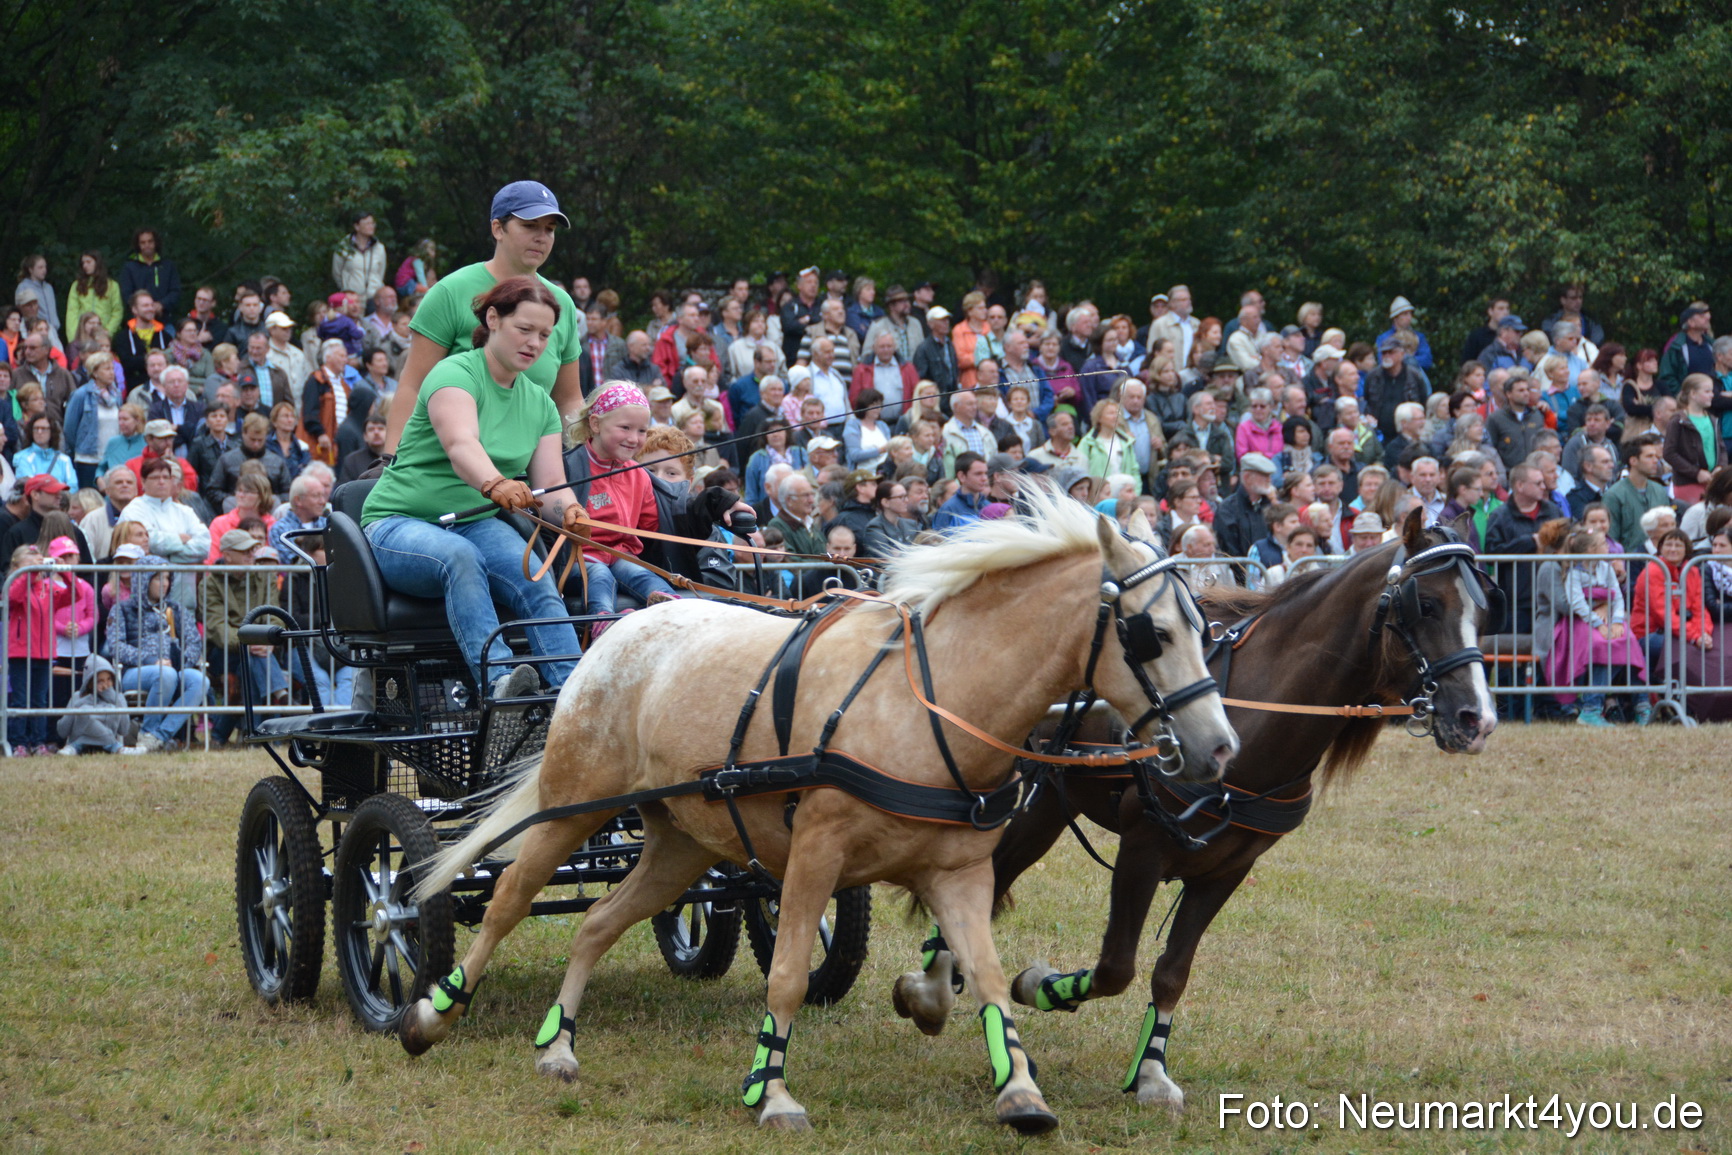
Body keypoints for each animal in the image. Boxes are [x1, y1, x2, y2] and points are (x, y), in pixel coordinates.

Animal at [400, 484, 1240, 1134]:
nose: (1221, 747)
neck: (931, 702)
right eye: (1151, 633)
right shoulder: (814, 854)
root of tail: (614, 634)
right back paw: (432, 1012)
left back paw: (559, 1044)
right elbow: (787, 977)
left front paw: (1020, 1090)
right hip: (571, 805)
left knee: (600, 920)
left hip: (682, 842)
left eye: (1208, 627)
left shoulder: (961, 872)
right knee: (508, 900)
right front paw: (770, 1091)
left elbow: (990, 977)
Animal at [958, 510, 1498, 1111]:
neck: (1254, 710)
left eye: (1486, 608)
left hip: (1052, 806)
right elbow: (1115, 968)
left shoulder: (1230, 868)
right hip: (1026, 808)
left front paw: (1151, 1073)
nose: (1478, 720)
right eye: (1425, 604)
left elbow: (1173, 972)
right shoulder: (1143, 846)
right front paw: (1042, 985)